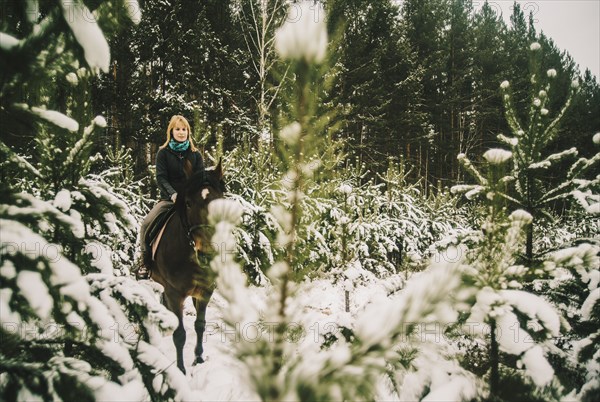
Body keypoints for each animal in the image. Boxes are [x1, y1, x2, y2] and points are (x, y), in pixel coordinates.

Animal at [150, 160, 225, 374]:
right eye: (189, 203)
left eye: (219, 202)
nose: (207, 253)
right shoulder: (174, 293)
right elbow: (179, 334)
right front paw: (181, 370)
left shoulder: (206, 290)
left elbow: (200, 325)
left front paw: (198, 359)